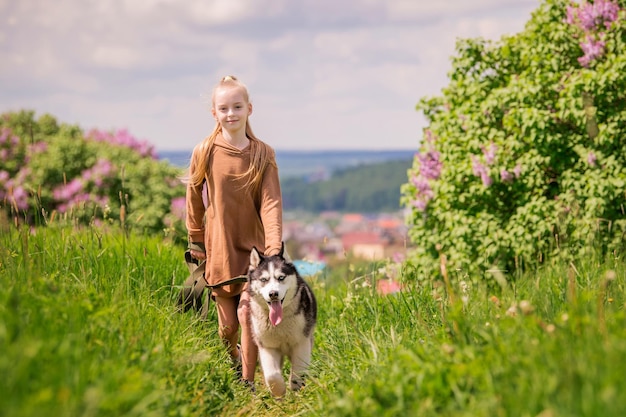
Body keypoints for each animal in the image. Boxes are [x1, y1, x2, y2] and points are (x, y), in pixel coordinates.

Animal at [246, 244, 316, 396]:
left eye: (281, 277)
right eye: (264, 280)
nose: (273, 294)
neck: (279, 323)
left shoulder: (301, 342)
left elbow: (298, 373)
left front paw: (296, 387)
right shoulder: (267, 346)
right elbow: (273, 376)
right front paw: (279, 391)